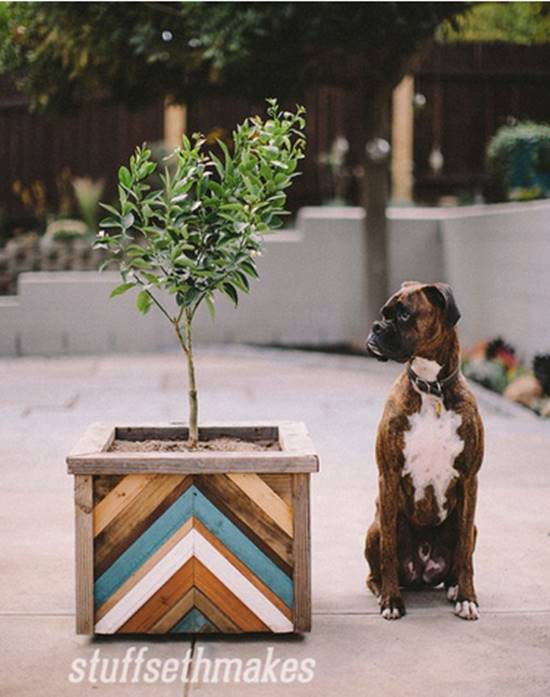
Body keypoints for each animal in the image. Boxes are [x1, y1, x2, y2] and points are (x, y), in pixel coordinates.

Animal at [366, 282, 488, 620]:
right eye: (384, 313)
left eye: (404, 314)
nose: (375, 327)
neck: (431, 389)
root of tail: (421, 572)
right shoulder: (388, 475)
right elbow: (388, 552)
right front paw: (392, 601)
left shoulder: (469, 479)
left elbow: (466, 555)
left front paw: (468, 598)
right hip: (375, 526)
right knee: (375, 569)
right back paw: (382, 591)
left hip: (471, 527)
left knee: (459, 559)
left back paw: (455, 587)